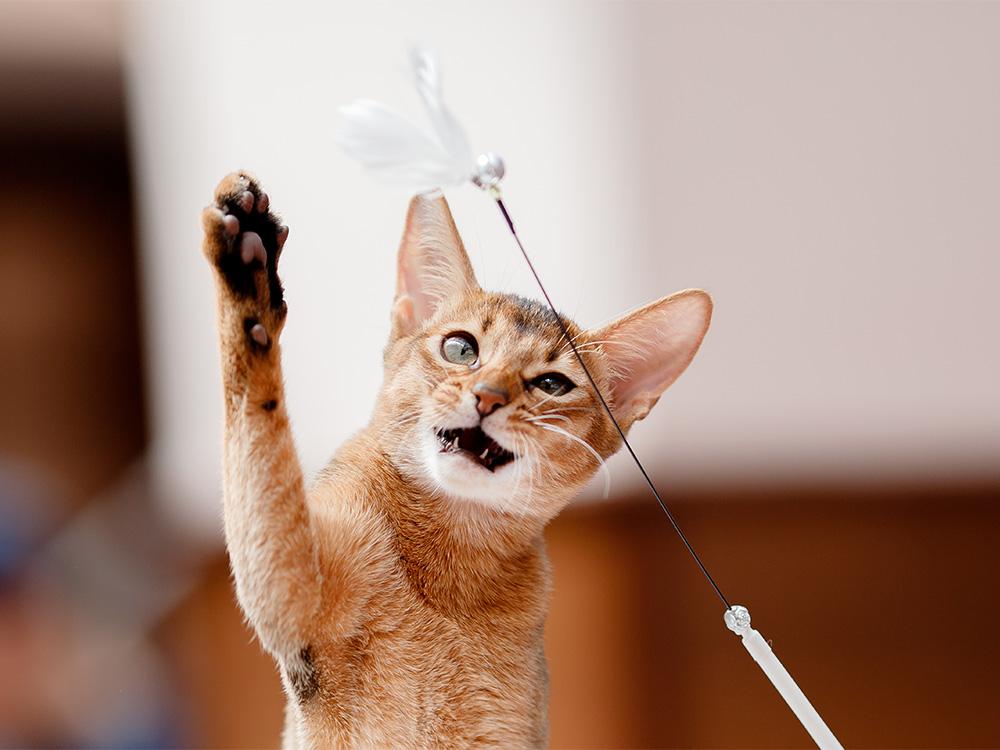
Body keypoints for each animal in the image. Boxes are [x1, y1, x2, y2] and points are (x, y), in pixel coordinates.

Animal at [199, 172, 712, 750]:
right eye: (461, 349)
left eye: (552, 384)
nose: (488, 396)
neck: (448, 552)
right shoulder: (293, 593)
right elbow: (256, 415)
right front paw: (247, 270)